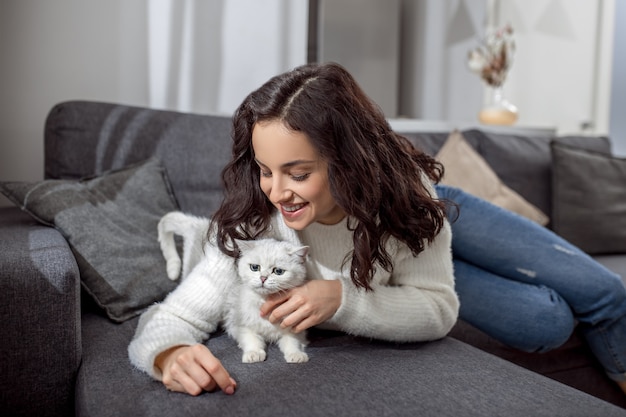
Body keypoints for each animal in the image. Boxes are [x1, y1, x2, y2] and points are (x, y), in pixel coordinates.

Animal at [158, 211, 310, 360]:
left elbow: (292, 341)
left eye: (278, 271)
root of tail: (201, 224)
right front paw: (253, 354)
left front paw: (296, 355)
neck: (262, 302)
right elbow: (251, 339)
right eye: (255, 267)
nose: (263, 278)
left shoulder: (295, 327)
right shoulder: (239, 324)